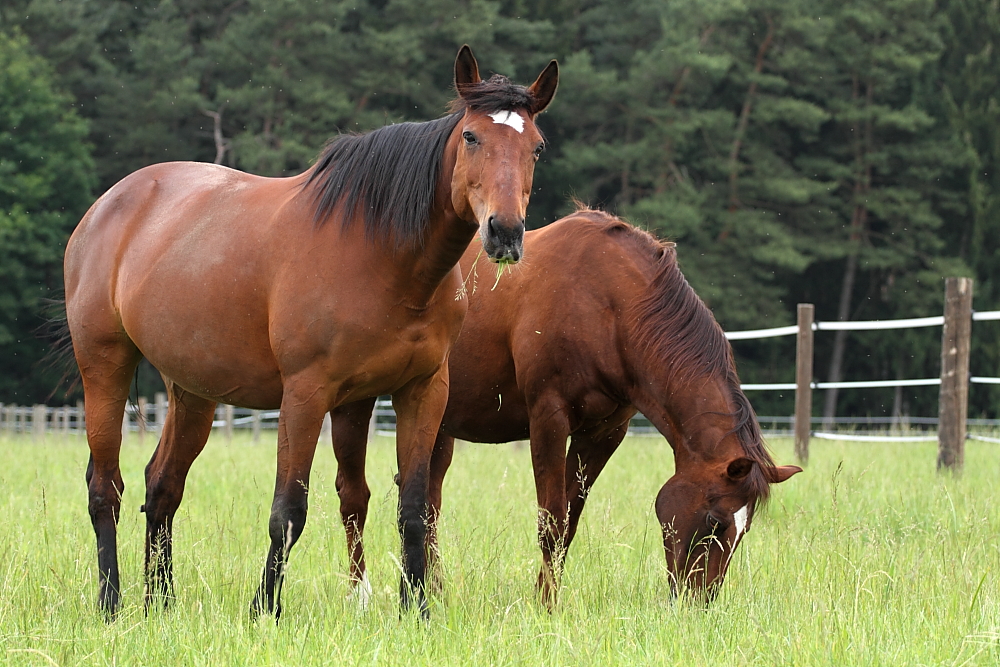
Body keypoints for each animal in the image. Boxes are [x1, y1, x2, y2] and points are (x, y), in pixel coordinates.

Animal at [62, 47, 560, 620]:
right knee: (106, 488)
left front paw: (416, 609)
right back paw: (110, 601)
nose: (505, 233)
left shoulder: (419, 391)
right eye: (473, 136)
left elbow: (412, 507)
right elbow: (288, 510)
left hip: (192, 391)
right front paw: (264, 610)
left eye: (536, 147)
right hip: (105, 364)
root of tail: (108, 205)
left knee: (161, 485)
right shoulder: (305, 394)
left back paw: (160, 603)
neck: (383, 253)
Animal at [332, 209, 800, 604]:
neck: (609, 304)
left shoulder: (605, 433)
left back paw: (435, 588)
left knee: (427, 501)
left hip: (438, 422)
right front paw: (545, 604)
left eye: (744, 531)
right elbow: (552, 520)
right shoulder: (548, 419)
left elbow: (570, 522)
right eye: (714, 522)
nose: (699, 601)